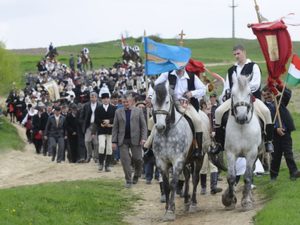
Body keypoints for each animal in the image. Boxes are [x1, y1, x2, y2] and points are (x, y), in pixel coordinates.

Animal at [221, 75, 262, 211]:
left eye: (249, 93)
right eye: (233, 94)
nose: (242, 117)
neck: (242, 127)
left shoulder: (251, 153)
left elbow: (248, 176)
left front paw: (246, 201)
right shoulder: (230, 153)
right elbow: (231, 177)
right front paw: (229, 199)